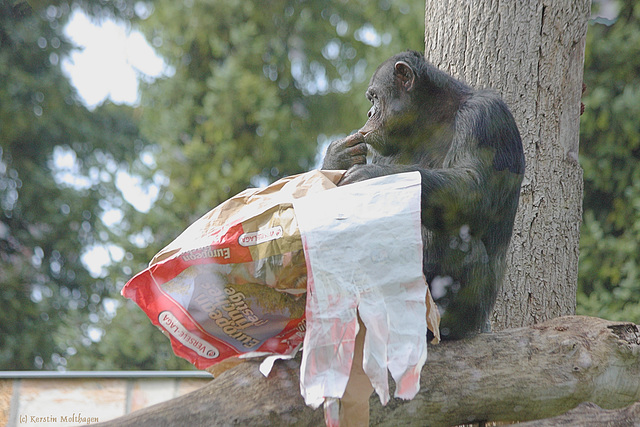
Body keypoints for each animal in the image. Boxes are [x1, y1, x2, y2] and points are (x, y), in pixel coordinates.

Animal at [322, 50, 524, 340]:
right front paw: (338, 156)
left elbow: (472, 186)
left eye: (374, 97)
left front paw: (371, 178)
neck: (431, 120)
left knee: (453, 232)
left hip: (471, 312)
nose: (370, 112)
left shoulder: (485, 116)